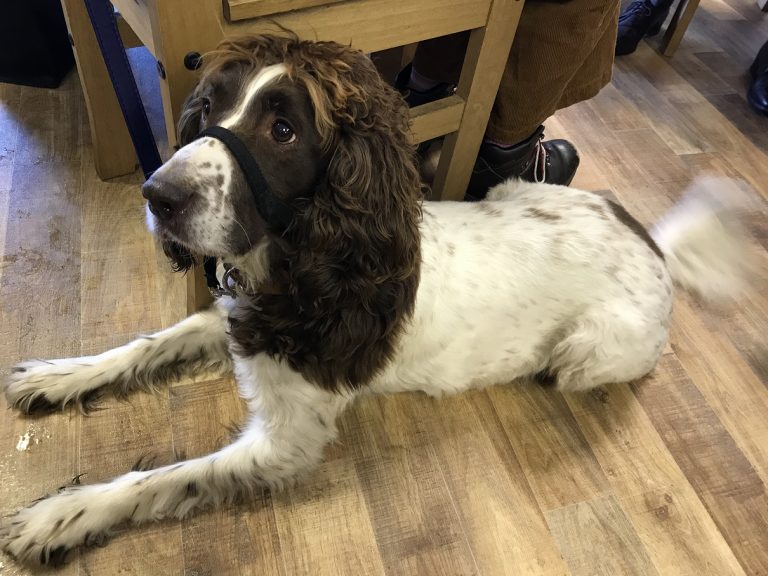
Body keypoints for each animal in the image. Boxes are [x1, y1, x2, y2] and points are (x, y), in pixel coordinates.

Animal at [0, 33, 752, 564]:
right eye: (208, 108)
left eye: (284, 130)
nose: (157, 194)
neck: (317, 265)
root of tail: (651, 242)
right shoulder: (246, 318)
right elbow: (148, 344)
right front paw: (58, 375)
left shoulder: (286, 441)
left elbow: (162, 478)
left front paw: (60, 515)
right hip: (520, 191)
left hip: (589, 350)